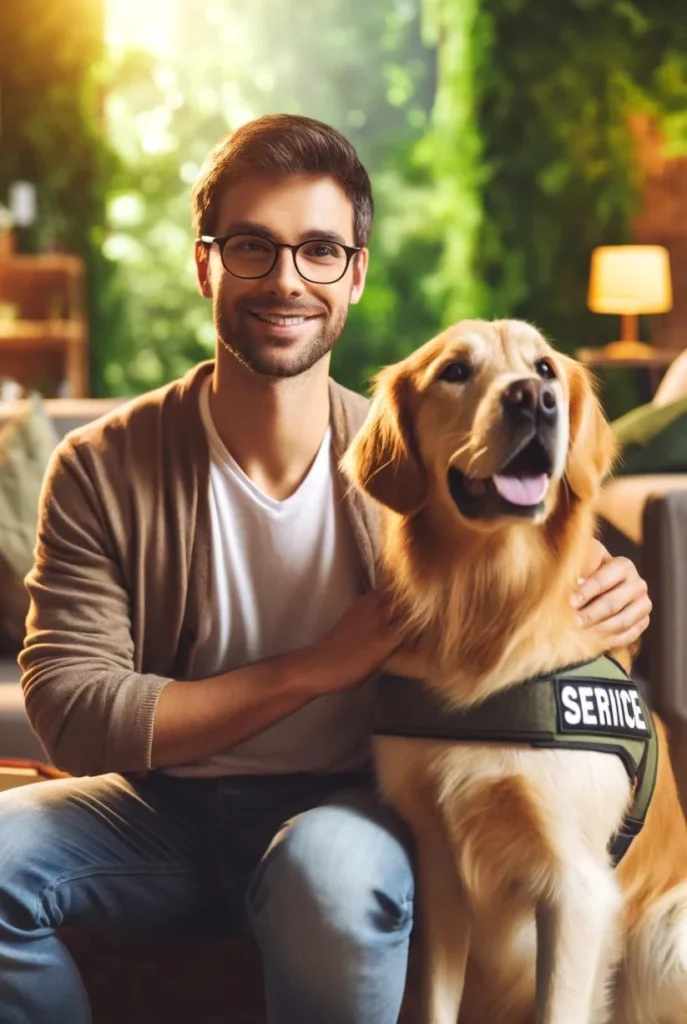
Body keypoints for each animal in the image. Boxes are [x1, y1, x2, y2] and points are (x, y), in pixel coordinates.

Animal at [346, 319, 687, 1024]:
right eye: (454, 371)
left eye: (546, 368)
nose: (535, 399)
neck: (488, 599)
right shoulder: (438, 867)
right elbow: (435, 1004)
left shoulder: (577, 889)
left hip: (666, 939)